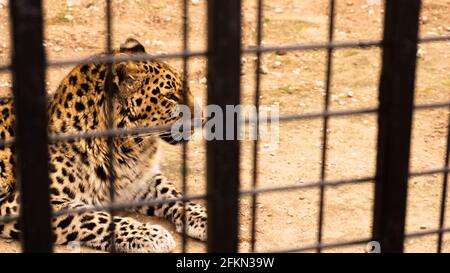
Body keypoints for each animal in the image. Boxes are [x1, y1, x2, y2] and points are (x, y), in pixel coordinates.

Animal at [0, 37, 207, 252]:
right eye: (170, 97)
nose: (203, 119)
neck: (129, 151)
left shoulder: (138, 181)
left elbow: (172, 193)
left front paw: (204, 218)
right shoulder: (18, 203)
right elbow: (90, 216)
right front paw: (150, 235)